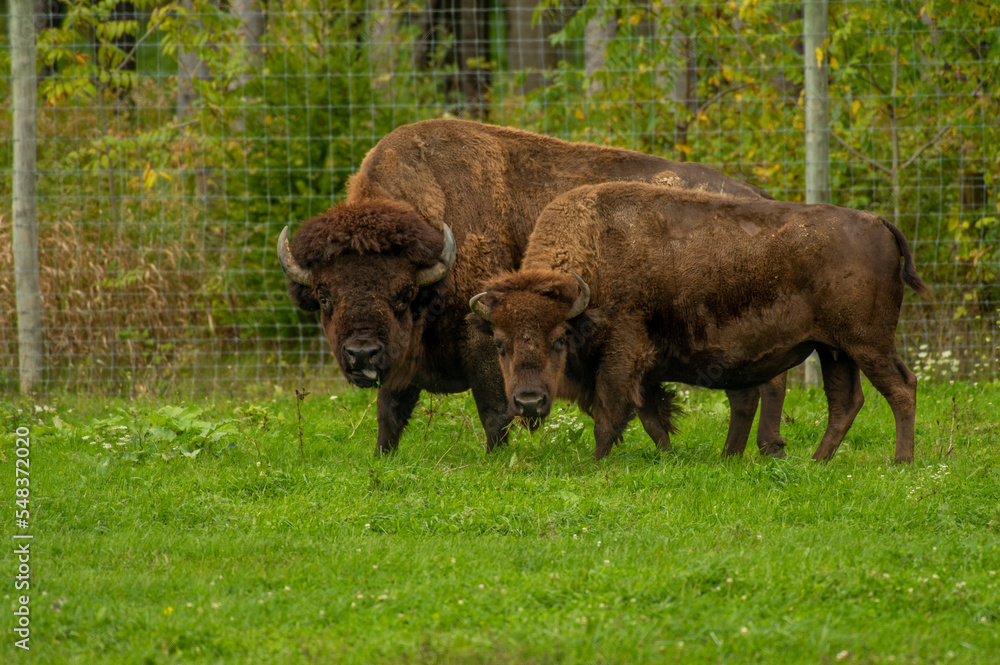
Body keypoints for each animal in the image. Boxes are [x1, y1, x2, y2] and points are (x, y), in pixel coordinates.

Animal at [278, 118, 784, 452]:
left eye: (403, 295)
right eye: (324, 296)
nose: (361, 355)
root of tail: (756, 195)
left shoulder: (481, 338)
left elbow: (494, 409)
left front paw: (497, 458)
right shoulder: (403, 362)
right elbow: (389, 412)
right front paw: (384, 458)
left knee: (769, 383)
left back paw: (764, 450)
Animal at [470, 180, 936, 462]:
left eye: (559, 339)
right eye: (499, 343)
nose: (529, 402)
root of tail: (878, 222)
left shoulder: (622, 355)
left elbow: (609, 412)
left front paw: (597, 463)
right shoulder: (646, 370)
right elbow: (650, 416)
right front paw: (668, 457)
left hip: (868, 344)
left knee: (901, 388)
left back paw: (901, 461)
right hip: (834, 349)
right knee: (845, 401)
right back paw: (817, 462)